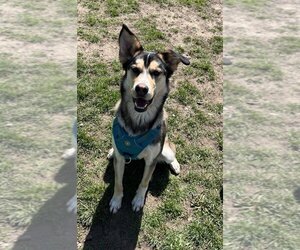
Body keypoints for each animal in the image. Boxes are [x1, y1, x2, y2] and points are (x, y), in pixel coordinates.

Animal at [106, 24, 189, 213]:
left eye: (156, 72)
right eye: (135, 69)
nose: (141, 89)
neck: (138, 120)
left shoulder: (151, 160)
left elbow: (144, 183)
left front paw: (138, 201)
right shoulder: (120, 160)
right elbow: (118, 183)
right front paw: (116, 200)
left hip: (165, 151)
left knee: (171, 154)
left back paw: (175, 165)